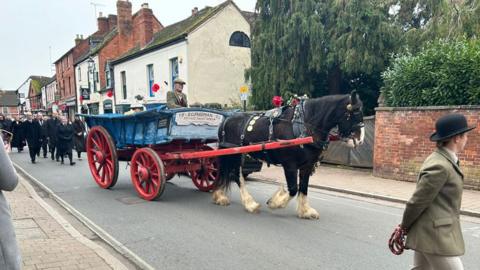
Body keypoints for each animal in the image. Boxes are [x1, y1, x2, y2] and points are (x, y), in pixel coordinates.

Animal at [212, 90, 366, 219]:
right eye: (354, 113)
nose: (360, 140)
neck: (304, 125)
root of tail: (226, 119)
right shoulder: (290, 165)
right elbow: (293, 189)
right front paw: (275, 203)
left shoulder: (307, 165)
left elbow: (303, 187)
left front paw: (305, 211)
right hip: (235, 154)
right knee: (236, 176)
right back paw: (250, 204)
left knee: (227, 173)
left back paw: (219, 195)